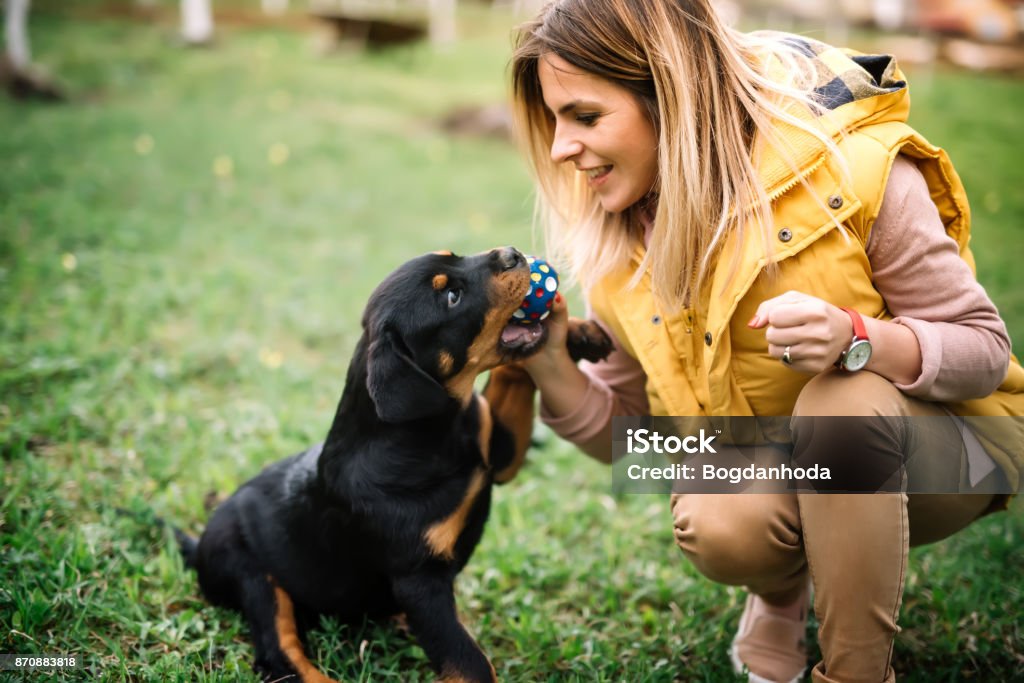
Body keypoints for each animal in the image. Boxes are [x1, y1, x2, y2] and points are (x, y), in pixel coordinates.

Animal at [177, 248, 610, 683]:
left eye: (454, 256)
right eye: (451, 297)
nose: (512, 254)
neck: (431, 433)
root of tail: (198, 546)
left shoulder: (498, 454)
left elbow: (514, 372)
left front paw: (578, 332)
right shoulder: (419, 580)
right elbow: (469, 663)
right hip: (252, 575)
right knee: (279, 653)